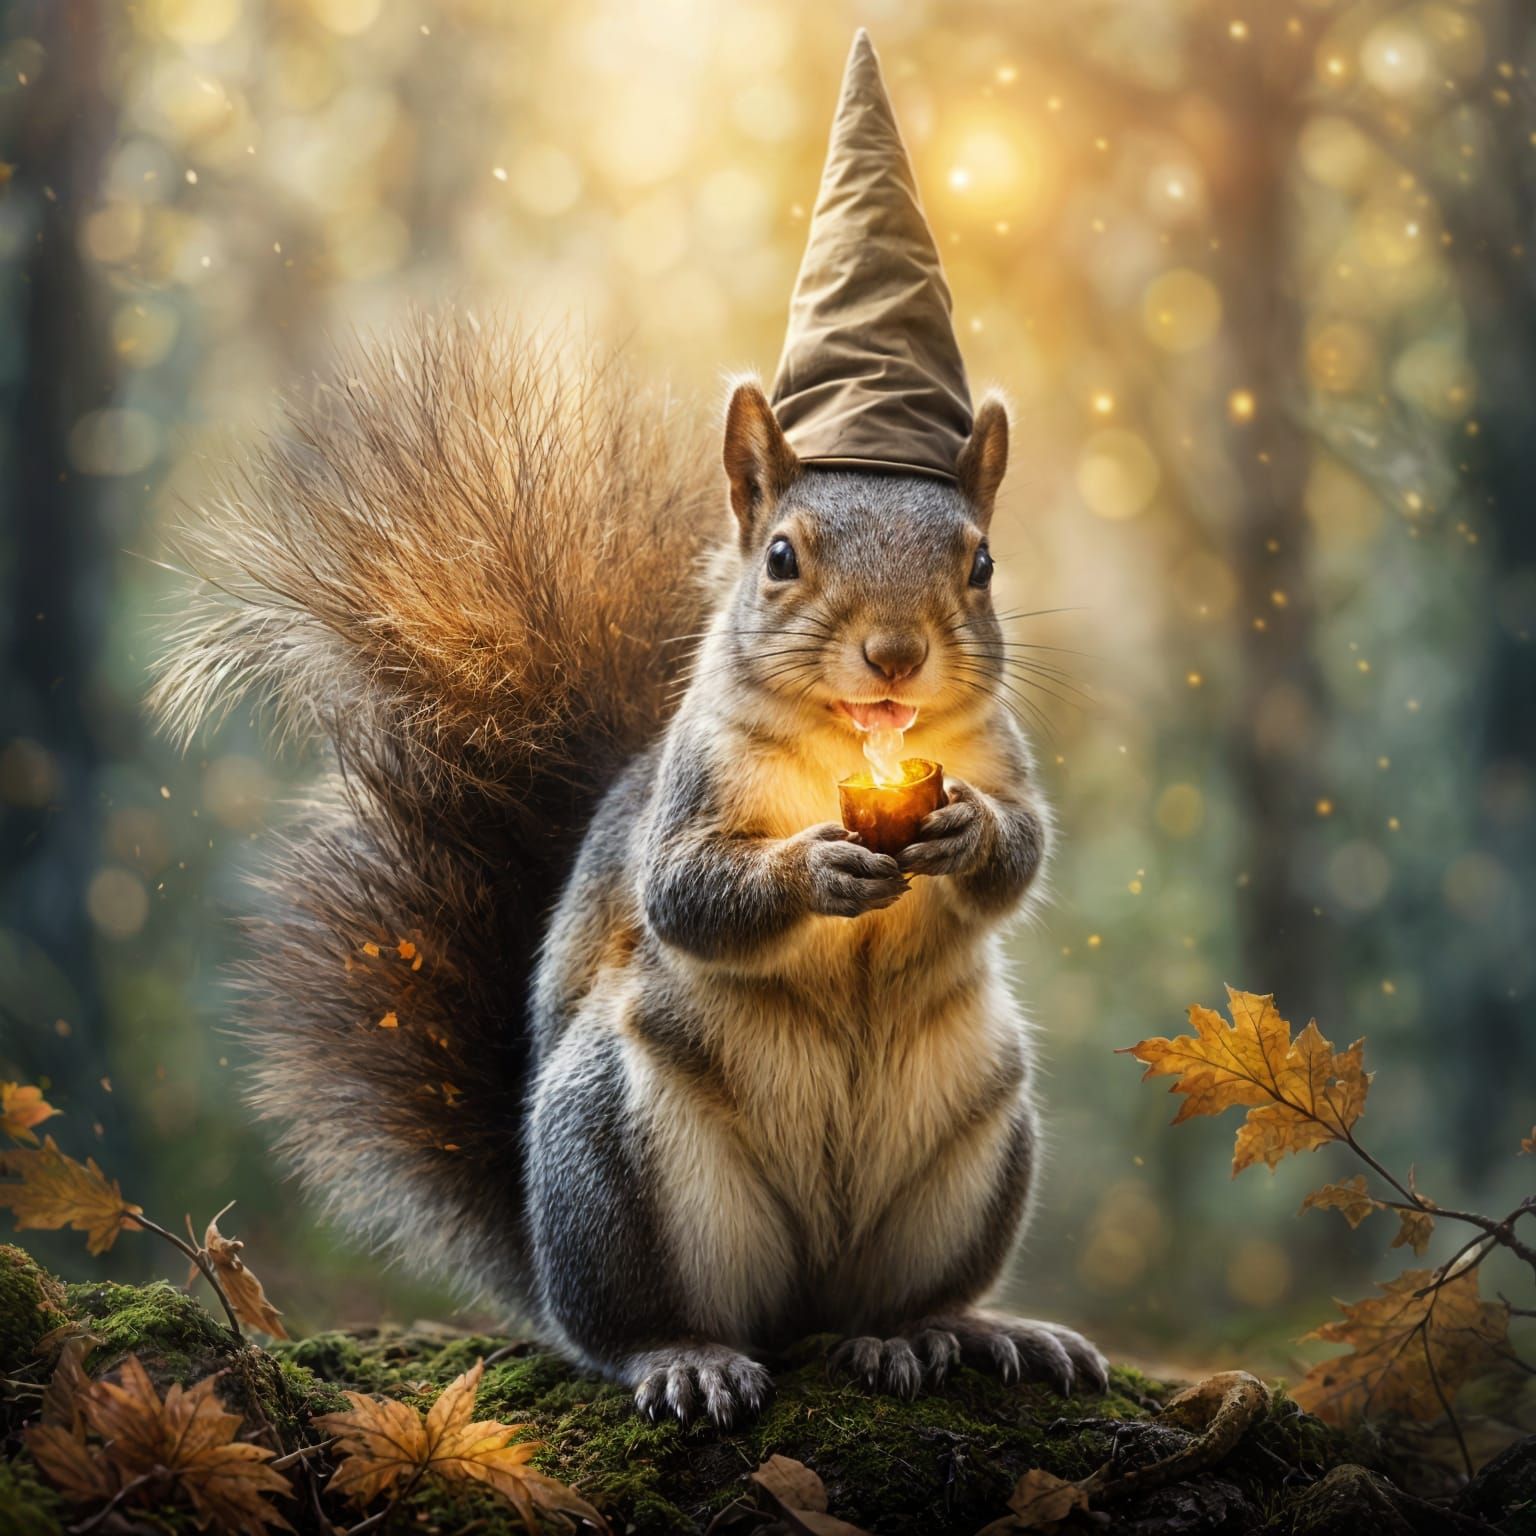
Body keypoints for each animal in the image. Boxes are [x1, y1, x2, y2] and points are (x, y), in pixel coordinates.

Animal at [152, 32, 1107, 1429]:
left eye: (980, 564)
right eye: (781, 556)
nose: (895, 654)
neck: (852, 746)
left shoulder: (1005, 757)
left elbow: (1023, 850)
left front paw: (968, 832)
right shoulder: (689, 796)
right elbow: (686, 893)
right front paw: (814, 866)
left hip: (980, 1139)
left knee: (886, 1308)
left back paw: (956, 1332)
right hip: (626, 1150)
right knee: (646, 1324)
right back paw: (688, 1355)